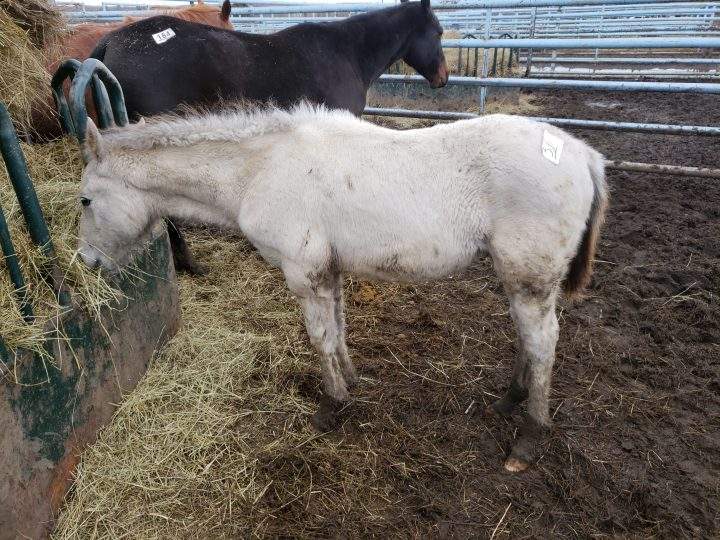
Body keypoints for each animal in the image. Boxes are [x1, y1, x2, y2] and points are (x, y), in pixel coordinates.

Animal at [76, 105, 608, 472]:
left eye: (84, 200)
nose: (86, 262)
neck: (261, 169)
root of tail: (582, 154)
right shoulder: (326, 271)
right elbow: (338, 327)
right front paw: (351, 381)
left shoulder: (302, 271)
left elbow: (320, 337)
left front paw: (330, 408)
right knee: (528, 339)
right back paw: (510, 399)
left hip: (529, 277)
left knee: (543, 342)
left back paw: (529, 438)